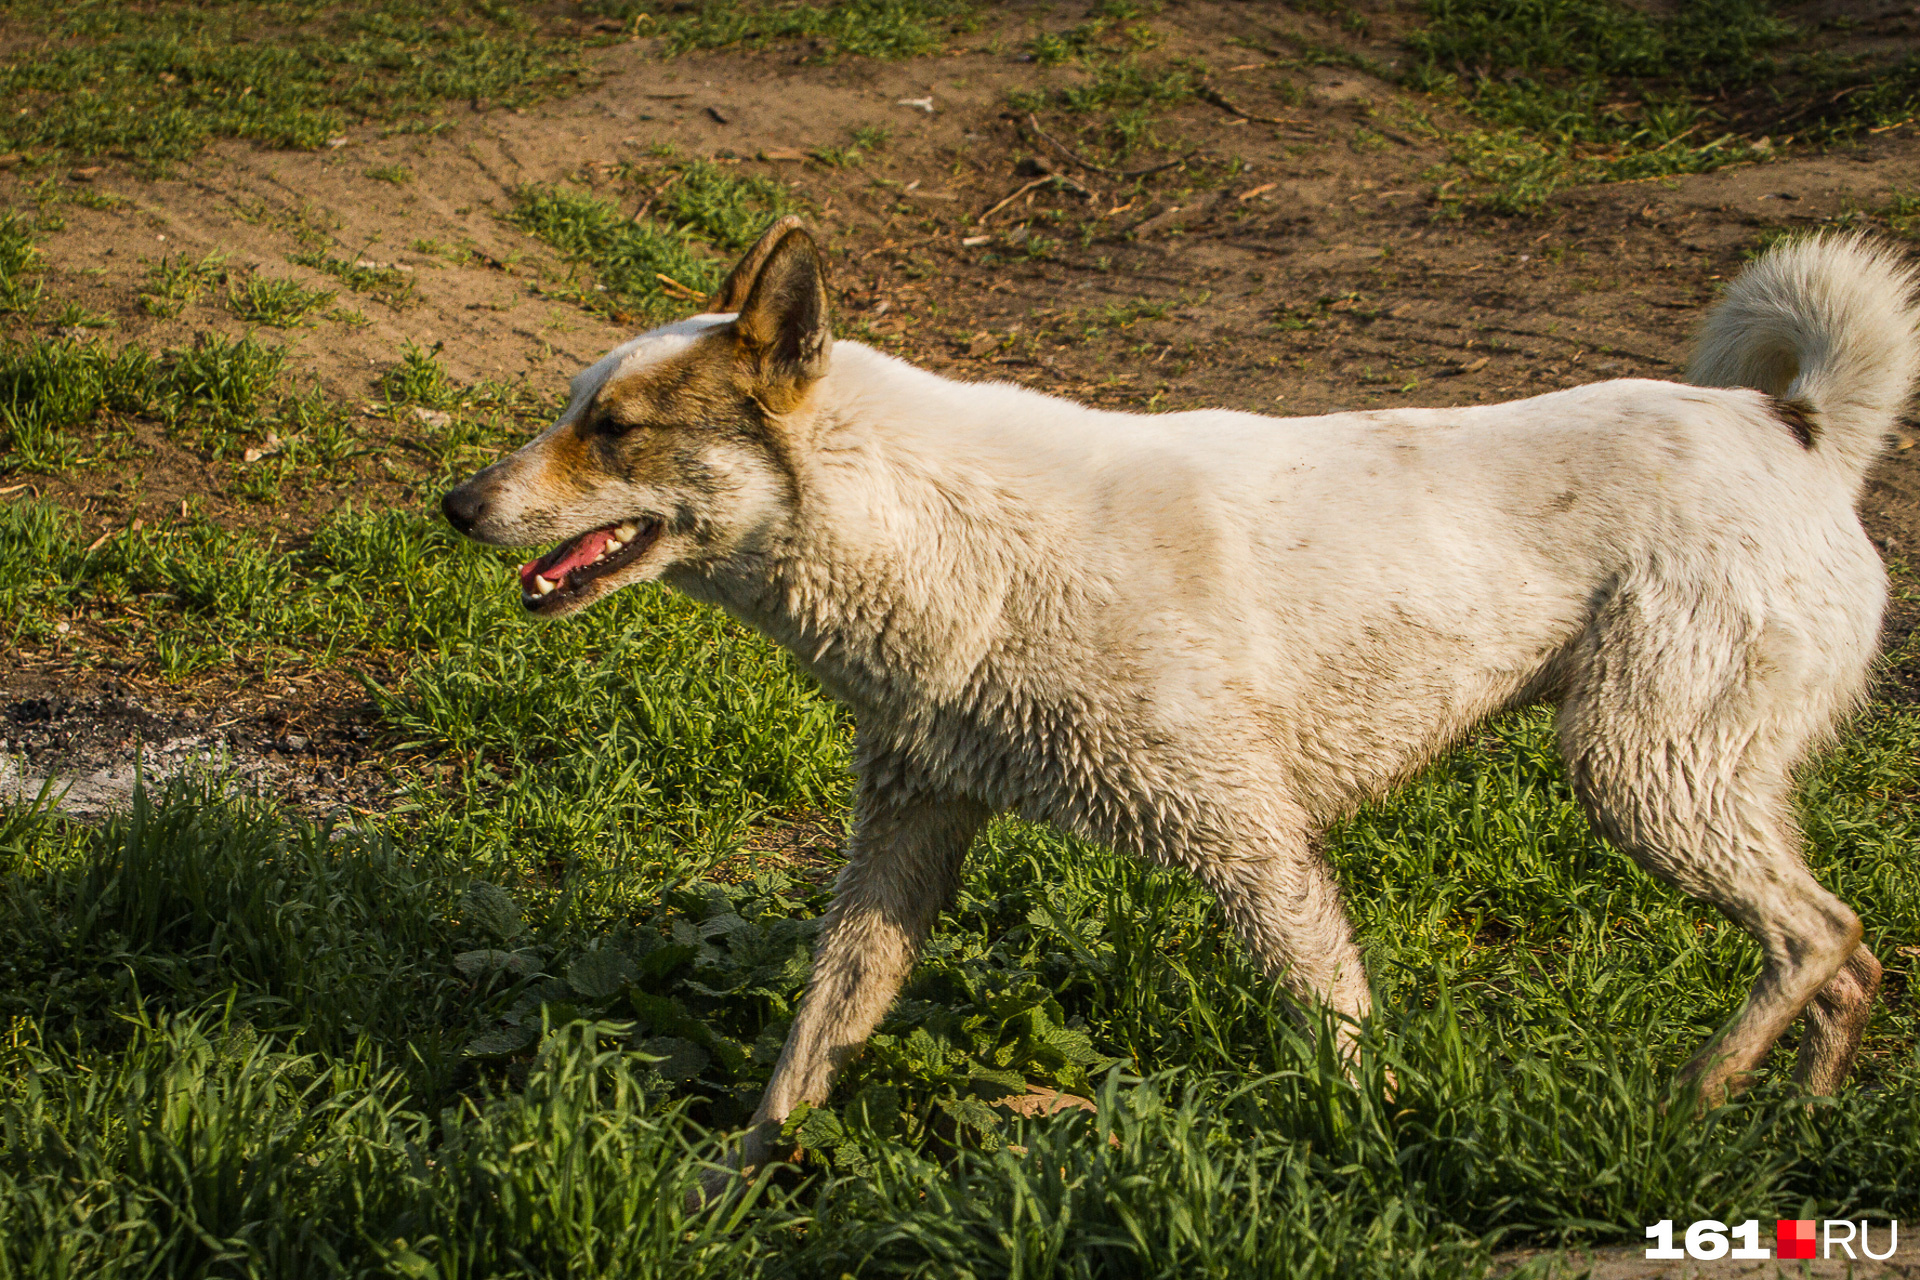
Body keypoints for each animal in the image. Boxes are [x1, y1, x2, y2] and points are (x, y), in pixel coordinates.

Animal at [445, 225, 1920, 1189]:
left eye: (615, 431)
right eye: (575, 414)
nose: (452, 504)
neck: (941, 532)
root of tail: (1797, 429)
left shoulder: (1254, 852)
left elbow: (1342, 1047)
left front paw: (1374, 1169)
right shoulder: (901, 854)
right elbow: (807, 1052)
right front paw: (732, 1192)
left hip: (1638, 773)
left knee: (1819, 935)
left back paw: (1702, 1098)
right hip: (1680, 780)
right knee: (1850, 957)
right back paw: (1797, 1122)